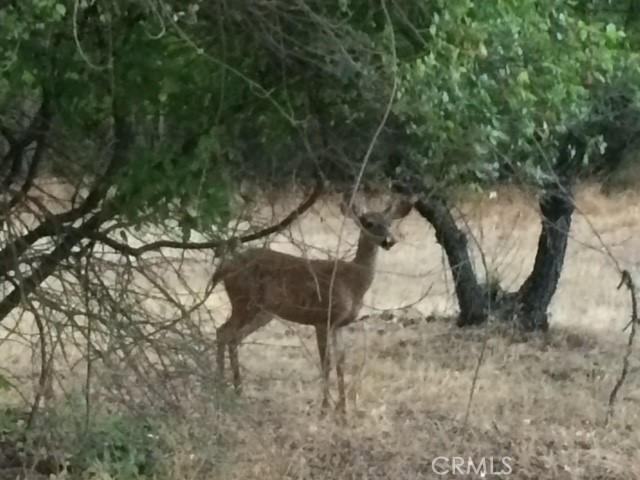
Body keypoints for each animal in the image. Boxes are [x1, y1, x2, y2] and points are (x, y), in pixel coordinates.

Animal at [212, 193, 412, 414]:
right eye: (368, 223)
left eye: (389, 223)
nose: (389, 241)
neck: (352, 282)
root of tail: (223, 268)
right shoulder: (322, 318)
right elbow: (326, 362)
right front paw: (325, 409)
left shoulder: (338, 324)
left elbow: (341, 362)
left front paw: (343, 410)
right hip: (245, 301)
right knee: (224, 333)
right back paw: (223, 387)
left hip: (262, 311)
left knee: (231, 336)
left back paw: (234, 390)